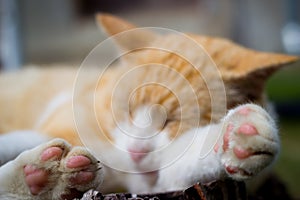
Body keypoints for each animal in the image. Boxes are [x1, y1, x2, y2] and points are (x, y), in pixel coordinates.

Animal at [0, 13, 298, 199]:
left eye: (173, 121)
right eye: (127, 109)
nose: (135, 151)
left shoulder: (158, 183)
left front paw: (234, 137)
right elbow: (20, 140)